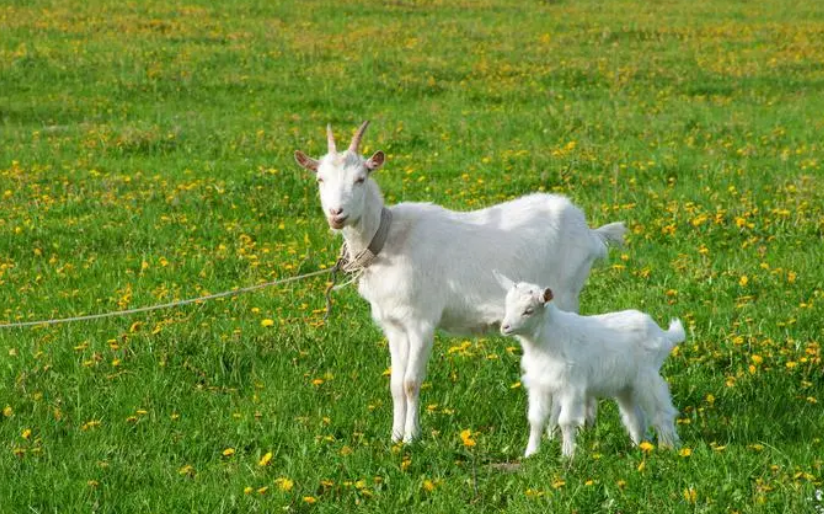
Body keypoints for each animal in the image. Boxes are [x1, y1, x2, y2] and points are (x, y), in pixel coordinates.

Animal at [296, 120, 624, 440]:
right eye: (320, 179)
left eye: (361, 178)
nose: (336, 214)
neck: (388, 239)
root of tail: (589, 232)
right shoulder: (394, 325)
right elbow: (395, 385)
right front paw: (394, 437)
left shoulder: (421, 322)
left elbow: (411, 382)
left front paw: (412, 438)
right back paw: (584, 423)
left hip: (565, 294)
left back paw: (559, 429)